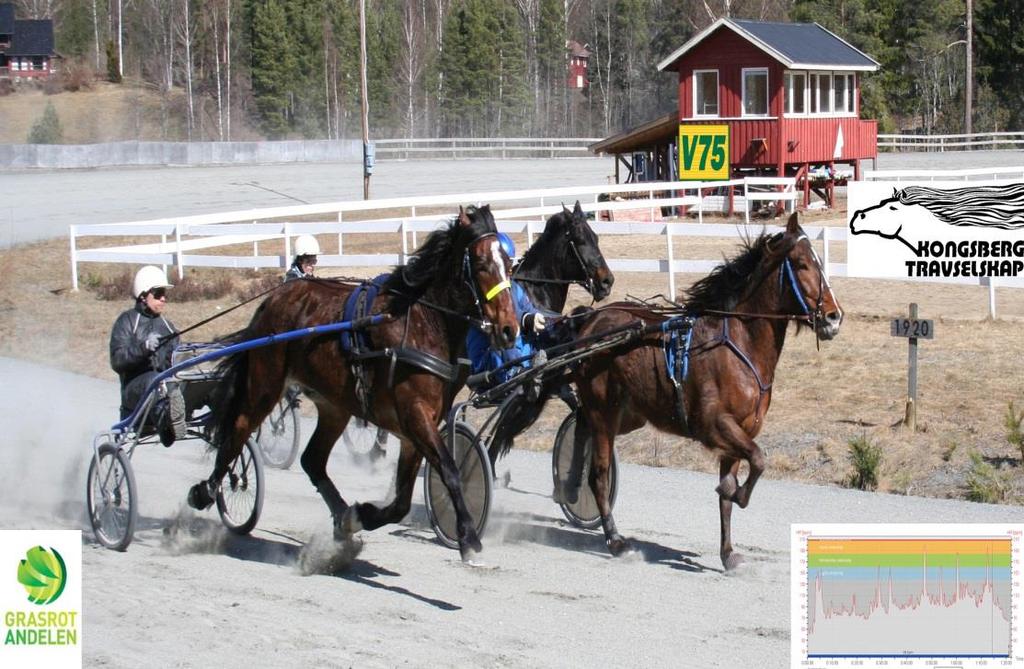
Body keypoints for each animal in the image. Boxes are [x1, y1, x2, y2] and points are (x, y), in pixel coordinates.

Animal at [193, 205, 520, 561]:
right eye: (482, 263)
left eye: (510, 263)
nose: (509, 329)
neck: (422, 324)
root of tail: (275, 298)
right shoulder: (414, 414)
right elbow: (449, 470)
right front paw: (467, 535)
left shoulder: (418, 425)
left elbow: (401, 502)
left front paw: (359, 515)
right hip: (266, 382)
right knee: (239, 428)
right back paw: (206, 489)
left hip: (334, 405)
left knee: (312, 460)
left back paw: (341, 516)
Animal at [573, 214, 843, 569]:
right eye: (801, 264)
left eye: (819, 262)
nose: (834, 317)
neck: (739, 344)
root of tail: (591, 320)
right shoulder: (714, 424)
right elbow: (758, 459)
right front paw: (738, 494)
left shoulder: (740, 432)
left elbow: (734, 483)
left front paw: (728, 551)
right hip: (602, 414)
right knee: (599, 476)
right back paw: (616, 540)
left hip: (627, 416)